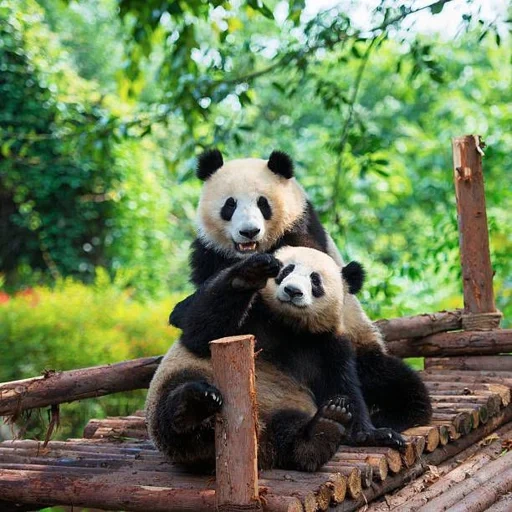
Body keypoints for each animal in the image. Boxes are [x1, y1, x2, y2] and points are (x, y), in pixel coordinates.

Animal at [146, 247, 406, 472]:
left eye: (315, 280)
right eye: (286, 270)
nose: (292, 291)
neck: (288, 325)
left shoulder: (327, 344)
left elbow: (343, 385)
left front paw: (374, 433)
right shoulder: (253, 316)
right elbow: (200, 333)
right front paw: (250, 274)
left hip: (283, 408)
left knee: (289, 431)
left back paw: (322, 431)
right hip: (183, 382)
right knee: (175, 403)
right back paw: (194, 405)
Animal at [172, 150, 432, 434]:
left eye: (263, 203)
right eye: (230, 205)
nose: (249, 231)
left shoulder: (300, 232)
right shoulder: (209, 253)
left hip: (362, 344)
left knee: (395, 382)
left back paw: (388, 414)